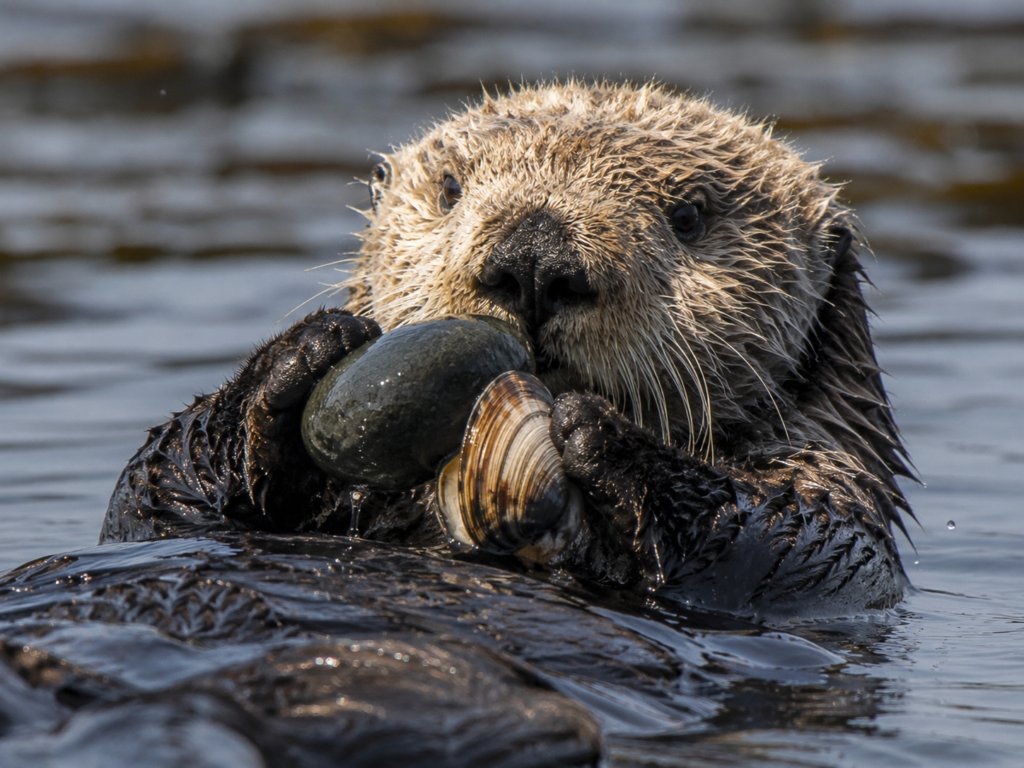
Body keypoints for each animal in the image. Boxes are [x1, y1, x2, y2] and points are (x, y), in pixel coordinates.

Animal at [101, 82, 914, 618]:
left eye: (688, 216)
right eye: (451, 189)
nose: (533, 258)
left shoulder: (833, 530)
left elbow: (775, 536)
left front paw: (595, 431)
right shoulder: (162, 512)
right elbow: (149, 493)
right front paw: (305, 353)